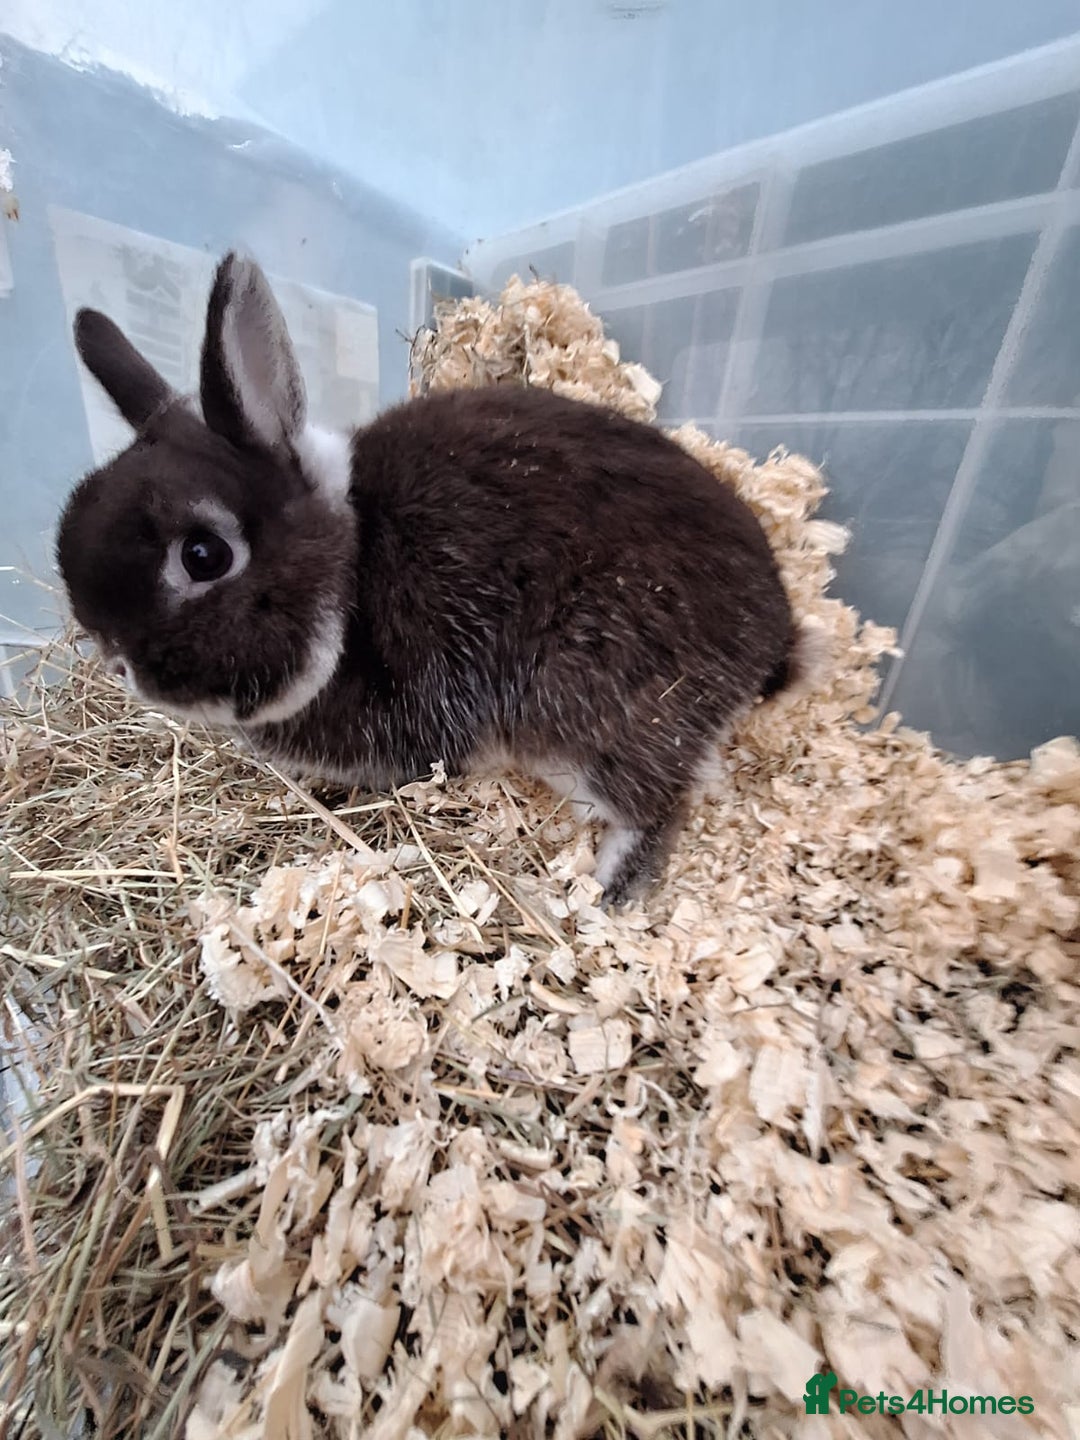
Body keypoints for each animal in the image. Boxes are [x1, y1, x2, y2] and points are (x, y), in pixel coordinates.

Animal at [56, 252, 824, 907]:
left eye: (204, 556)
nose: (115, 661)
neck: (352, 569)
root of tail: (771, 639)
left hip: (594, 709)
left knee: (655, 806)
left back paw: (599, 895)